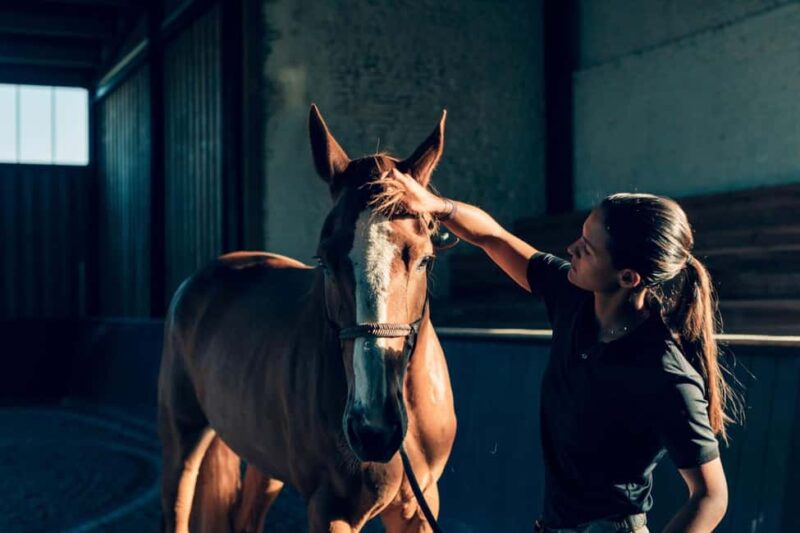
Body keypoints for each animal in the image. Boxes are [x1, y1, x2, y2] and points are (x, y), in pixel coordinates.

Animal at [158, 104, 457, 532]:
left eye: (424, 259)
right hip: (181, 441)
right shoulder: (331, 510)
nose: (374, 429)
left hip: (264, 461)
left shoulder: (419, 507)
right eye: (324, 259)